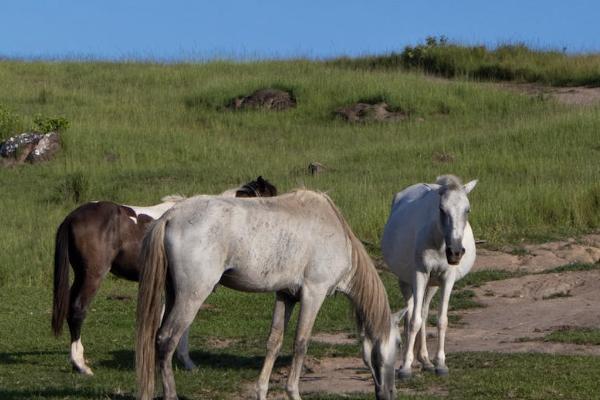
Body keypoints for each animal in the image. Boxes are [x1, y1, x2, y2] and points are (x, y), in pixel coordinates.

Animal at [51, 177, 276, 374]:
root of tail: (72, 217)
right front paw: (185, 362)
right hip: (93, 276)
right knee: (78, 310)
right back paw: (81, 365)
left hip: (81, 275)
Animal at [136, 191, 398, 400]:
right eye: (397, 344)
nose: (390, 393)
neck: (335, 231)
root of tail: (171, 215)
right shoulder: (314, 293)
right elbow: (301, 343)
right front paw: (293, 392)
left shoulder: (286, 295)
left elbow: (274, 342)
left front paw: (261, 391)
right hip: (191, 296)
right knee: (167, 340)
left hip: (173, 294)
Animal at [384, 175, 478, 378]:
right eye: (442, 209)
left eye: (467, 209)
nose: (455, 253)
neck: (439, 241)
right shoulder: (420, 275)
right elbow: (414, 321)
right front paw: (405, 367)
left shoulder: (447, 279)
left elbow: (442, 320)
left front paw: (440, 364)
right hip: (406, 281)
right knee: (412, 313)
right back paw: (409, 361)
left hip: (433, 284)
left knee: (425, 312)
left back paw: (426, 360)